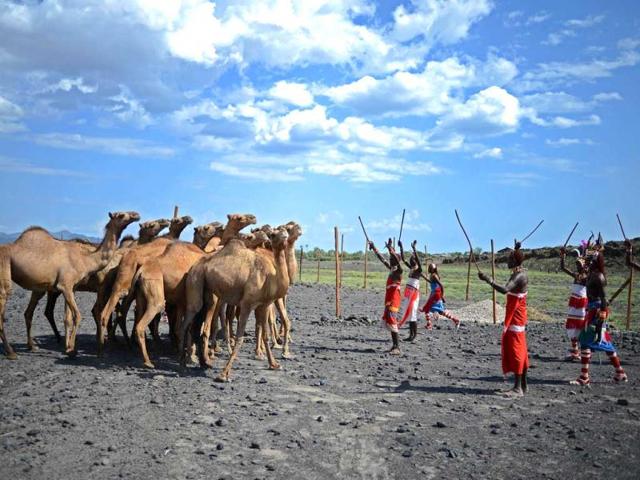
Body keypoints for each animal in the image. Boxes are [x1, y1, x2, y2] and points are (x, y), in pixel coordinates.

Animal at [0, 211, 140, 358]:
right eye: (121, 215)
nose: (136, 215)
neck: (85, 259)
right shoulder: (66, 286)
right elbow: (78, 316)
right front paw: (72, 349)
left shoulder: (71, 288)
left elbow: (69, 318)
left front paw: (69, 347)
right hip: (5, 271)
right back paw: (11, 352)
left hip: (39, 288)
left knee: (29, 313)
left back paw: (32, 346)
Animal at [180, 227, 291, 382]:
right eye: (273, 235)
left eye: (285, 230)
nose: (284, 234)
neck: (269, 278)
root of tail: (194, 265)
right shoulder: (246, 304)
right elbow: (239, 338)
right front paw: (224, 374)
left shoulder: (263, 305)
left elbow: (265, 335)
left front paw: (274, 364)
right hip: (195, 279)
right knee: (187, 321)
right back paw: (182, 362)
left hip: (207, 290)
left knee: (197, 324)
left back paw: (203, 363)